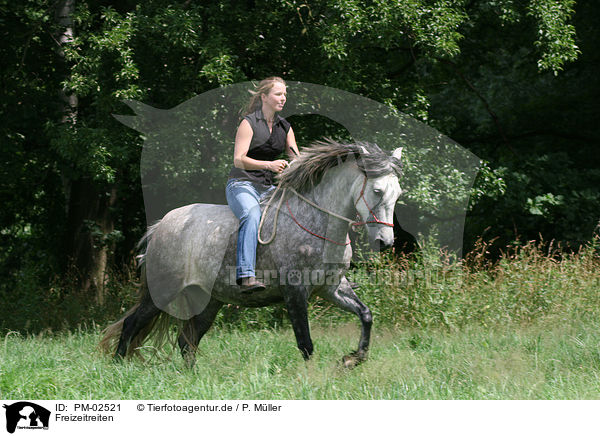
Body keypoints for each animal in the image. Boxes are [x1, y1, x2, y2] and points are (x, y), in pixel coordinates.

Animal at [101, 140, 404, 368]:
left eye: (398, 192)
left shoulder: (331, 288)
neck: (316, 222)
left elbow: (366, 315)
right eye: (377, 190)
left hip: (209, 301)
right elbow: (305, 342)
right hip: (163, 291)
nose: (386, 241)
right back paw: (117, 367)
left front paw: (353, 359)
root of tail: (160, 227)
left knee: (187, 341)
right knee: (131, 324)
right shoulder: (295, 291)